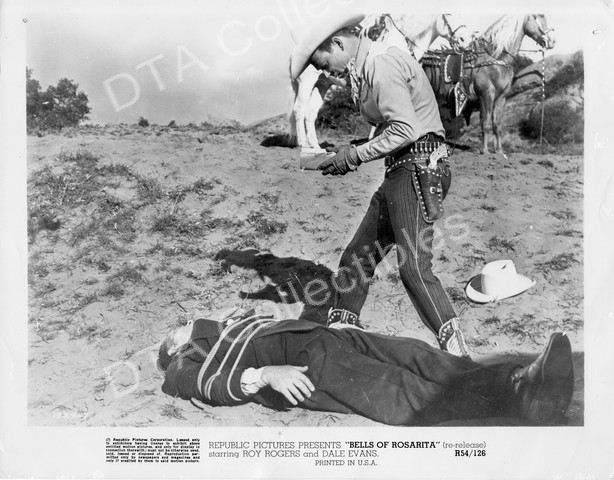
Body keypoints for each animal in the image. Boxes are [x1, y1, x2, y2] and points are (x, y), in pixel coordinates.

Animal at [288, 14, 472, 151]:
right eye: (448, 15)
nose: (466, 40)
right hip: (307, 82)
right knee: (299, 109)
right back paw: (302, 144)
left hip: (322, 84)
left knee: (310, 113)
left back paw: (315, 146)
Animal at [422, 14, 555, 155]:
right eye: (539, 16)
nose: (552, 41)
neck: (495, 59)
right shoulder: (486, 95)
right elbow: (485, 122)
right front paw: (484, 150)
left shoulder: (501, 98)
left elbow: (497, 124)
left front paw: (499, 150)